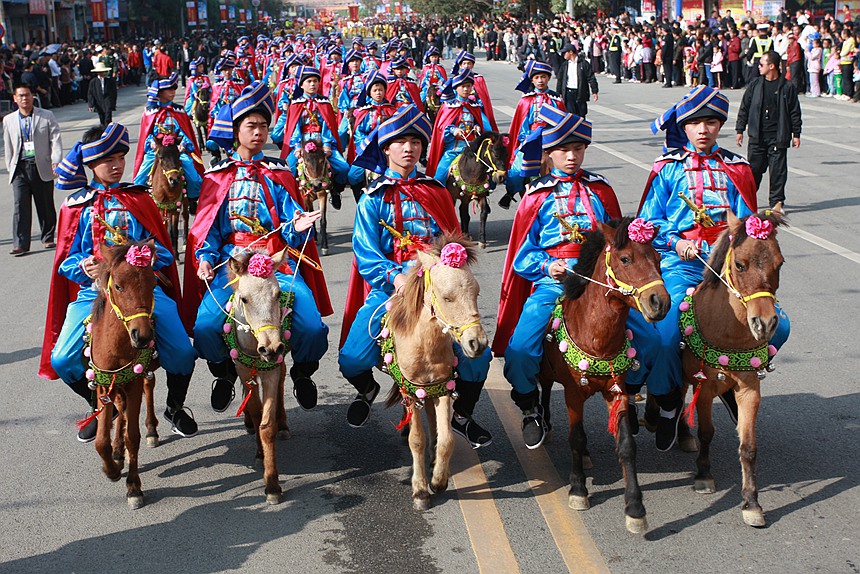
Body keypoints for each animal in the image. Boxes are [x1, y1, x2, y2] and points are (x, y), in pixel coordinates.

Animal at [82, 241, 161, 510]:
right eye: (118, 285)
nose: (142, 335)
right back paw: (117, 450)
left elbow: (133, 437)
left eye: (153, 283)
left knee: (148, 387)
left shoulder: (133, 382)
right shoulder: (102, 384)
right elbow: (101, 440)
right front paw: (112, 470)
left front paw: (133, 487)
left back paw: (151, 430)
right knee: (120, 407)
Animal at [223, 248, 294, 504]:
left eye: (277, 294)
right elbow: (255, 413)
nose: (271, 348)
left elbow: (266, 425)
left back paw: (283, 424)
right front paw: (259, 454)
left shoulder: (271, 371)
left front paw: (272, 484)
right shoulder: (244, 370)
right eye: (244, 299)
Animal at [380, 234, 488, 512]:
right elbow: (416, 439)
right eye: (447, 297)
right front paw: (420, 491)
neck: (425, 346)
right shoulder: (411, 391)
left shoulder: (443, 388)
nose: (477, 344)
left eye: (476, 292)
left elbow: (447, 438)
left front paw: (439, 480)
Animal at [536, 217, 672, 536]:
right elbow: (575, 437)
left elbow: (626, 446)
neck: (596, 338)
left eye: (658, 259)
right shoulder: (573, 393)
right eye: (625, 259)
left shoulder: (616, 389)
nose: (659, 302)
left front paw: (635, 508)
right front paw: (578, 490)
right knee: (543, 390)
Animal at [680, 212, 788, 532]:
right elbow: (706, 432)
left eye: (780, 263)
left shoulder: (750, 388)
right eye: (740, 264)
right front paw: (703, 475)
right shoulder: (703, 386)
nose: (764, 323)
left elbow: (749, 446)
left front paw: (751, 502)